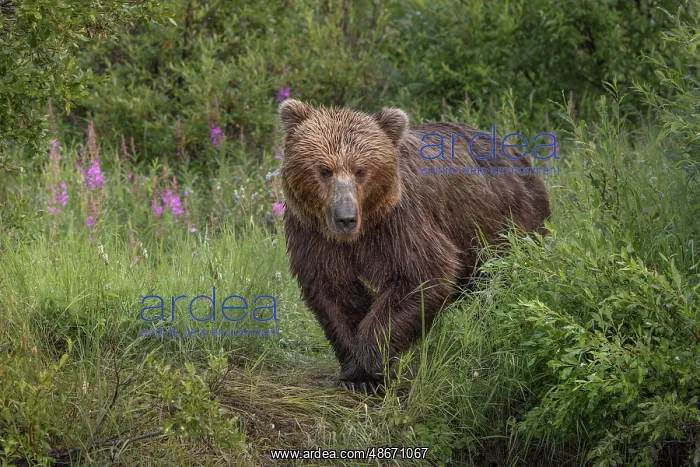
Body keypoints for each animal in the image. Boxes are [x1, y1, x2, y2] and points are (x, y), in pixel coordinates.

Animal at [279, 99, 550, 394]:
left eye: (361, 170)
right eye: (324, 170)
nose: (346, 218)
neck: (362, 232)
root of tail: (517, 154)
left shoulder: (401, 222)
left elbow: (422, 274)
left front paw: (369, 366)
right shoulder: (314, 232)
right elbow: (334, 288)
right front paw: (354, 369)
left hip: (508, 224)